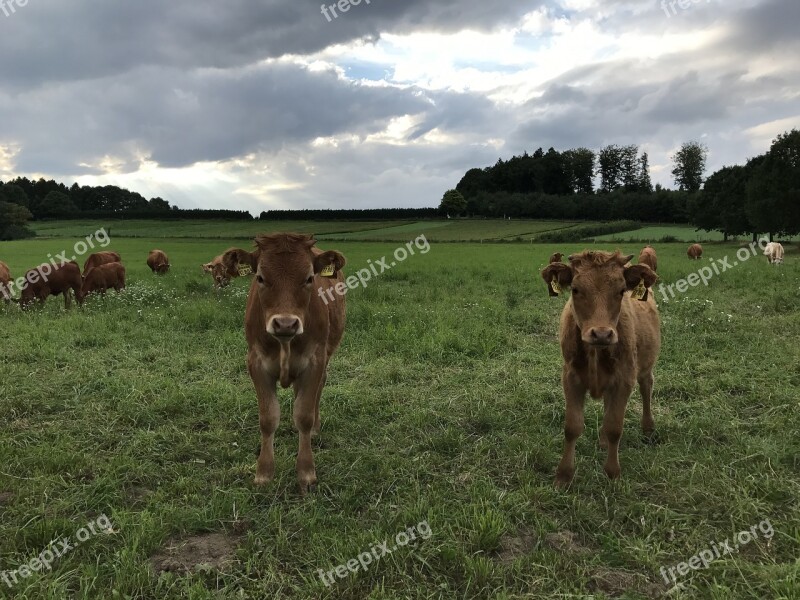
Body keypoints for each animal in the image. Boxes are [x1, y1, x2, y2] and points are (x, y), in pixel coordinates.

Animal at [220, 232, 346, 494]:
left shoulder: (315, 361)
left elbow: (304, 415)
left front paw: (306, 473)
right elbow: (268, 419)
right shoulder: (256, 363)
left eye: (309, 278)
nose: (286, 324)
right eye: (260, 277)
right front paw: (264, 473)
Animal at [540, 251, 660, 486]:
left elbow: (615, 427)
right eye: (575, 289)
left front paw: (612, 473)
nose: (602, 334)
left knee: (646, 387)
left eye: (621, 291)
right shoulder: (570, 378)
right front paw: (563, 476)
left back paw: (648, 428)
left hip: (644, 366)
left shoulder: (625, 379)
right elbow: (572, 427)